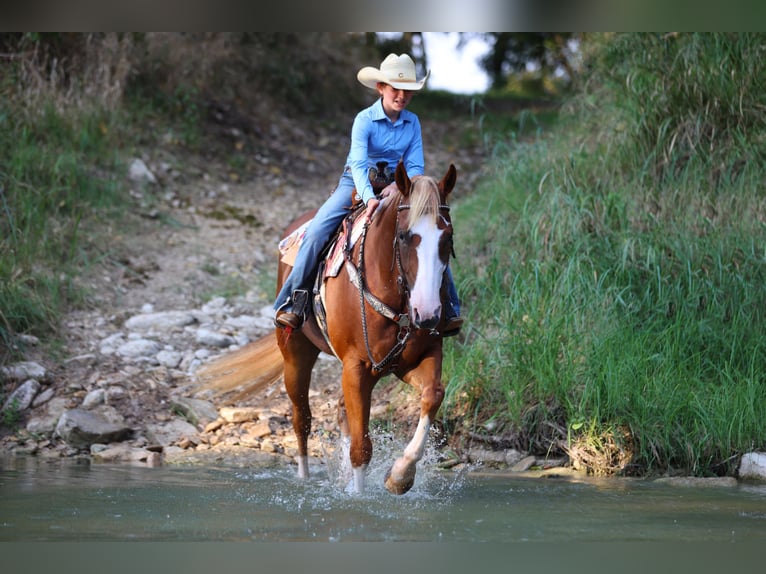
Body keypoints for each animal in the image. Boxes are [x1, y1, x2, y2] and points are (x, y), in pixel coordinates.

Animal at [196, 161, 458, 495]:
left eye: (447, 238)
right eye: (403, 236)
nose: (427, 313)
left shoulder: (414, 359)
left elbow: (433, 394)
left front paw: (400, 476)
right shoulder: (356, 366)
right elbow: (361, 448)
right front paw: (358, 497)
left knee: (342, 411)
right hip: (296, 355)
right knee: (302, 419)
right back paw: (304, 477)